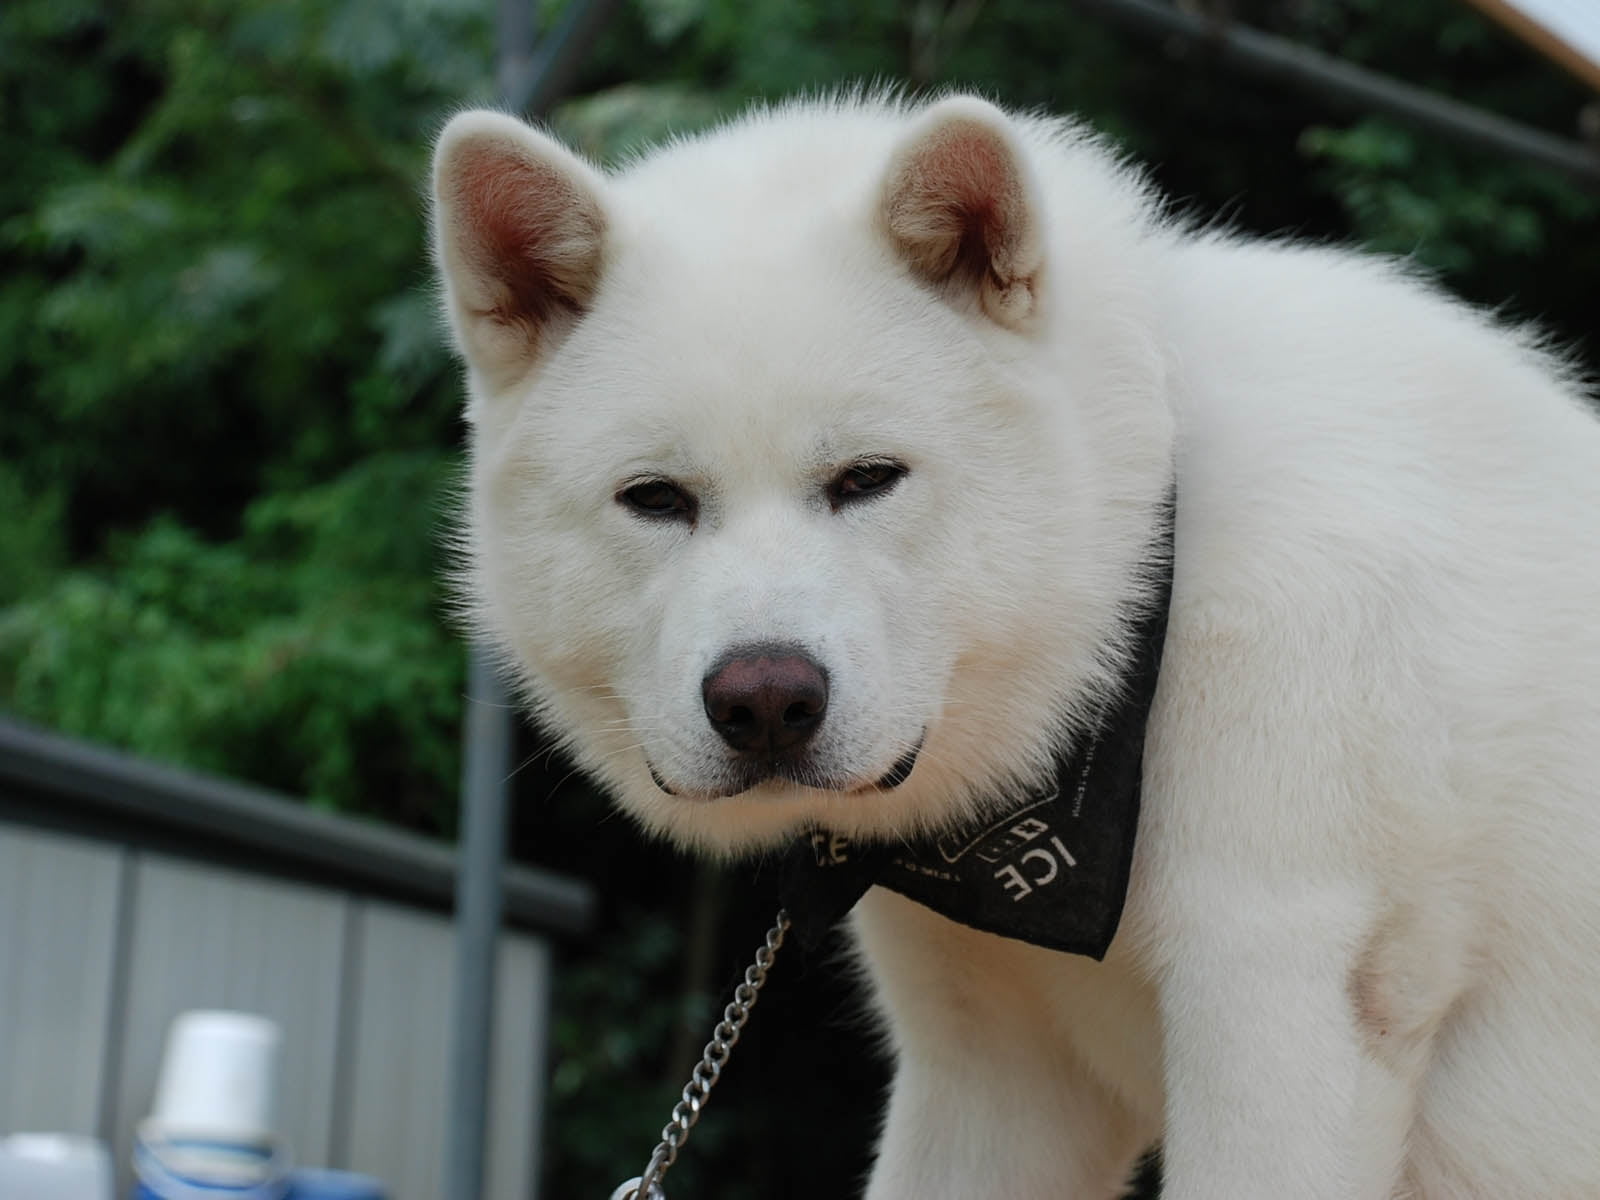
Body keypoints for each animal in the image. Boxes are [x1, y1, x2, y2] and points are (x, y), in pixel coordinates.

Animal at [432, 89, 1600, 1196]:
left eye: (868, 478)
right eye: (656, 500)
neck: (1150, 597)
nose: (765, 702)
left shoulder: (1285, 1017)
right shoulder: (994, 1085)